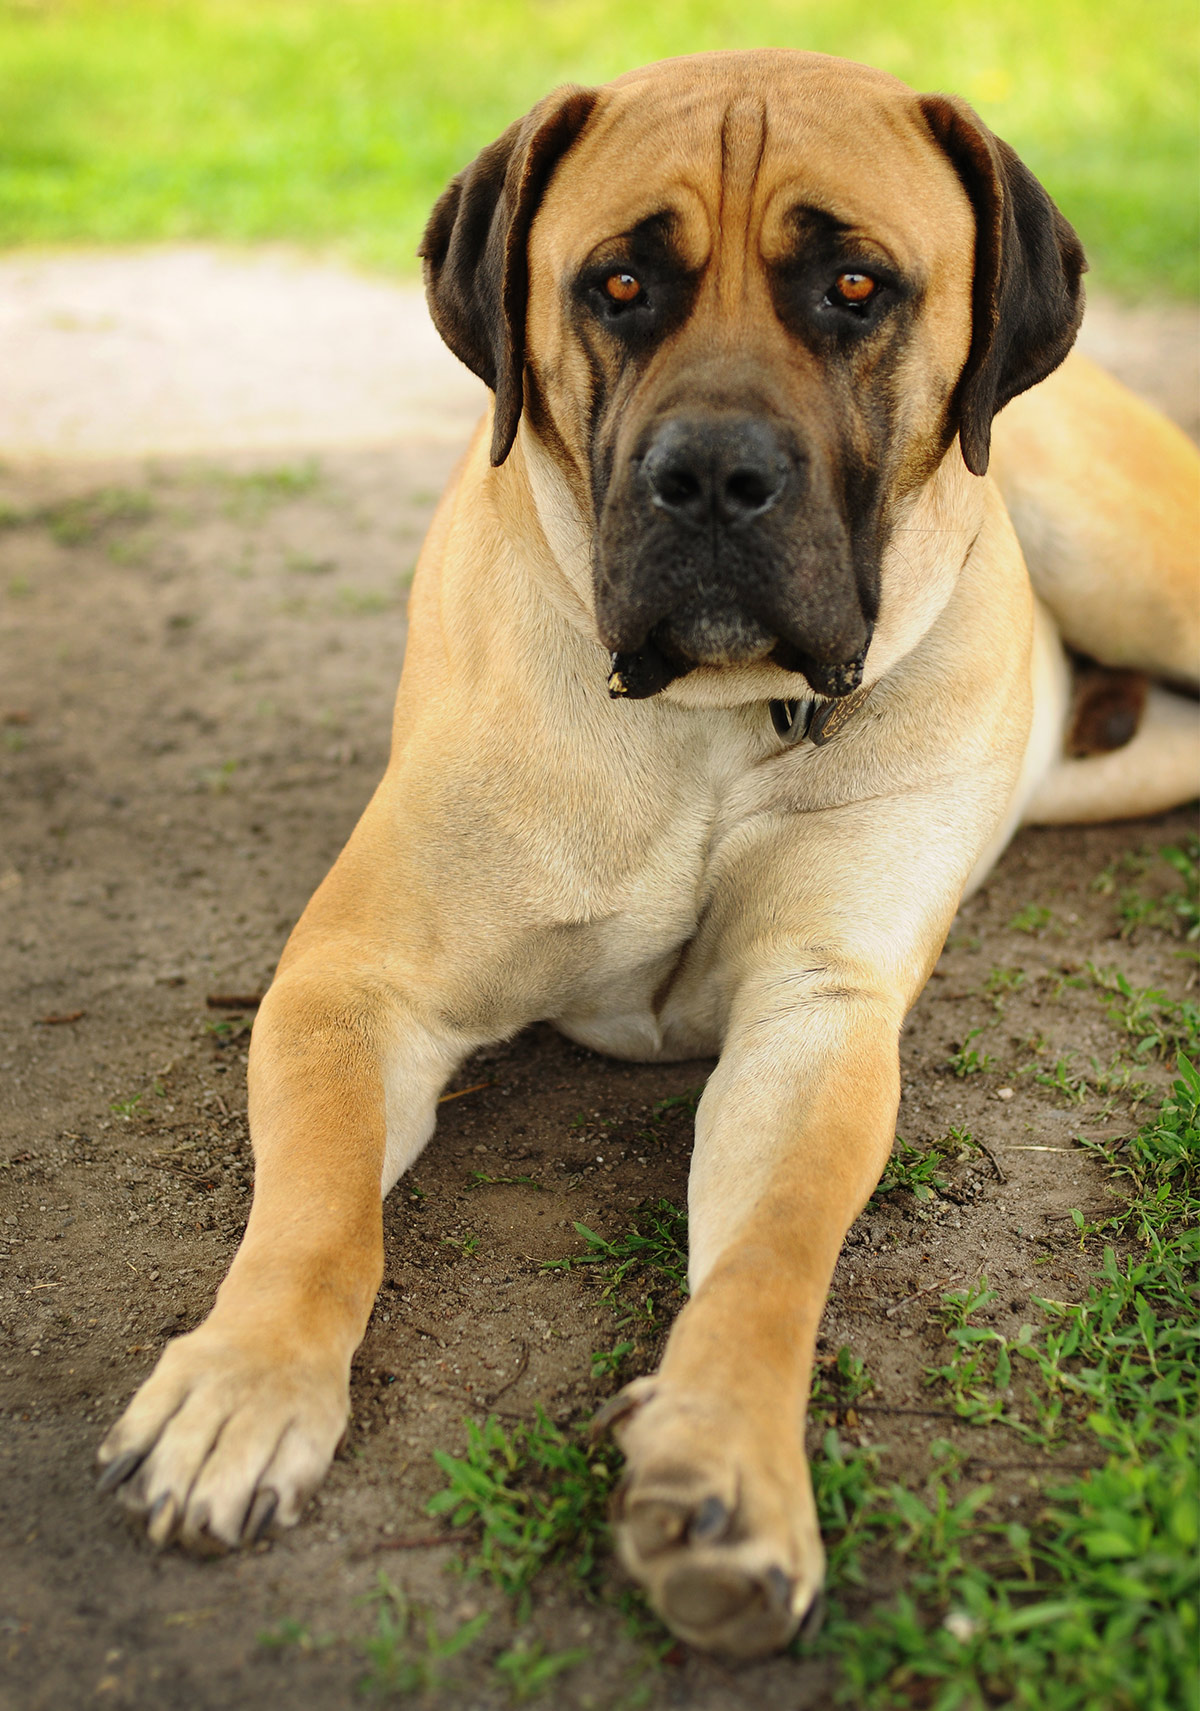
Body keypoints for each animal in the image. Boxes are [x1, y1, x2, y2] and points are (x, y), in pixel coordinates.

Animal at [100, 50, 1198, 1656]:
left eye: (856, 286)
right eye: (618, 284)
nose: (715, 476)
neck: (715, 723)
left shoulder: (818, 1012)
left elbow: (769, 1258)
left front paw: (728, 1466)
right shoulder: (354, 984)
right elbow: (317, 1212)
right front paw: (243, 1383)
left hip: (1132, 555)